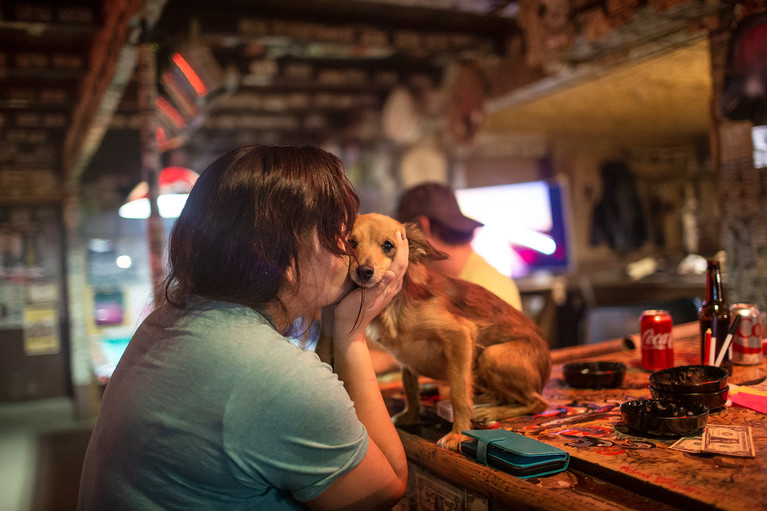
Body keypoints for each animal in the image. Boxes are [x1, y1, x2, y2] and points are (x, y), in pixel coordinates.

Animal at [348, 214, 552, 450]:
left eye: (388, 246)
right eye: (351, 243)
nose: (364, 271)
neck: (394, 303)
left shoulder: (460, 335)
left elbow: (458, 392)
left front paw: (458, 433)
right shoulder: (405, 359)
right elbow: (410, 387)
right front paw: (411, 416)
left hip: (492, 355)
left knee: (537, 402)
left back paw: (490, 411)